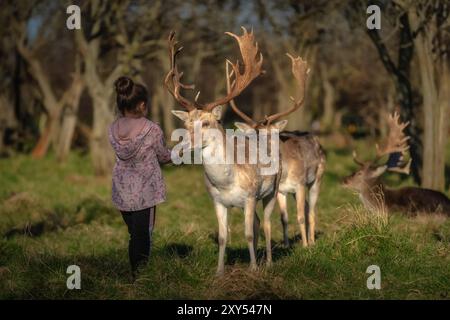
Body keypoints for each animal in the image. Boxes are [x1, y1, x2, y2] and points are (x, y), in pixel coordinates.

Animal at [165, 28, 282, 276]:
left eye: (207, 122)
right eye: (186, 123)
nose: (180, 145)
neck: (226, 183)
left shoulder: (250, 196)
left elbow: (247, 234)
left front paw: (253, 269)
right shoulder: (217, 201)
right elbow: (222, 237)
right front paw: (219, 272)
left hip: (272, 190)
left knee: (267, 223)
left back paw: (267, 262)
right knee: (258, 223)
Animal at [227, 53, 326, 248]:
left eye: (271, 134)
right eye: (252, 135)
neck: (287, 172)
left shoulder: (300, 183)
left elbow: (300, 216)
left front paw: (305, 246)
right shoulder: (280, 190)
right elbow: (284, 218)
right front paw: (287, 245)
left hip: (317, 178)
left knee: (311, 210)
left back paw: (312, 241)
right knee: (306, 208)